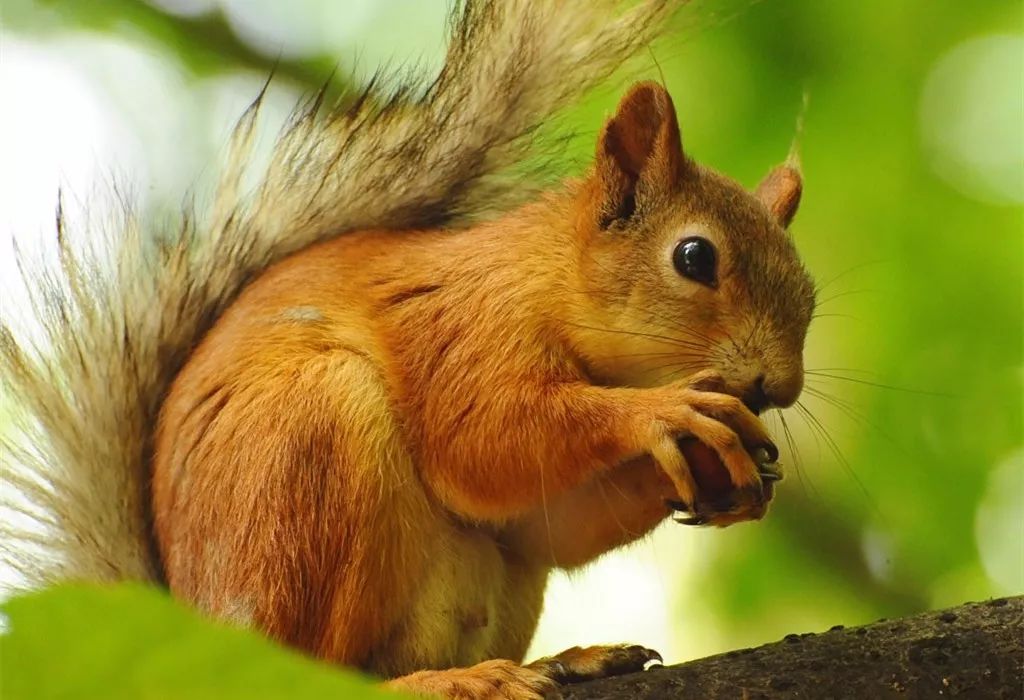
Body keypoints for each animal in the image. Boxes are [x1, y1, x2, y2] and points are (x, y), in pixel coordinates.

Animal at [0, 2, 815, 695]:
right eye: (694, 258)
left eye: (809, 290)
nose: (778, 386)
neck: (546, 277)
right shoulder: (461, 330)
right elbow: (481, 441)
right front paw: (665, 411)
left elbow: (548, 524)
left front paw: (728, 466)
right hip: (311, 450)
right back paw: (447, 681)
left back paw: (562, 660)